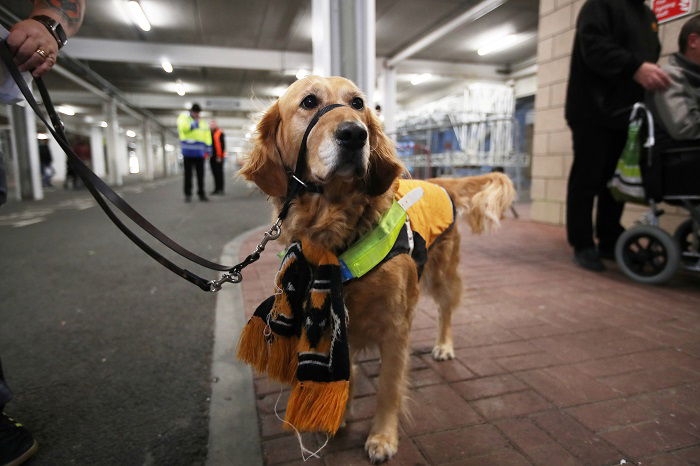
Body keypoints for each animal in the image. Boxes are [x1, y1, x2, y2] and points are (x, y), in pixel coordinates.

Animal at [241, 76, 516, 462]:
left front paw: (383, 437)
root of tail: (438, 182)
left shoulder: (396, 326)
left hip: (442, 276)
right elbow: (349, 372)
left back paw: (444, 345)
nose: (354, 134)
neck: (338, 232)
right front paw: (341, 416)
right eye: (309, 101)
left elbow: (389, 386)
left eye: (357, 103)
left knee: (447, 311)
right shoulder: (337, 317)